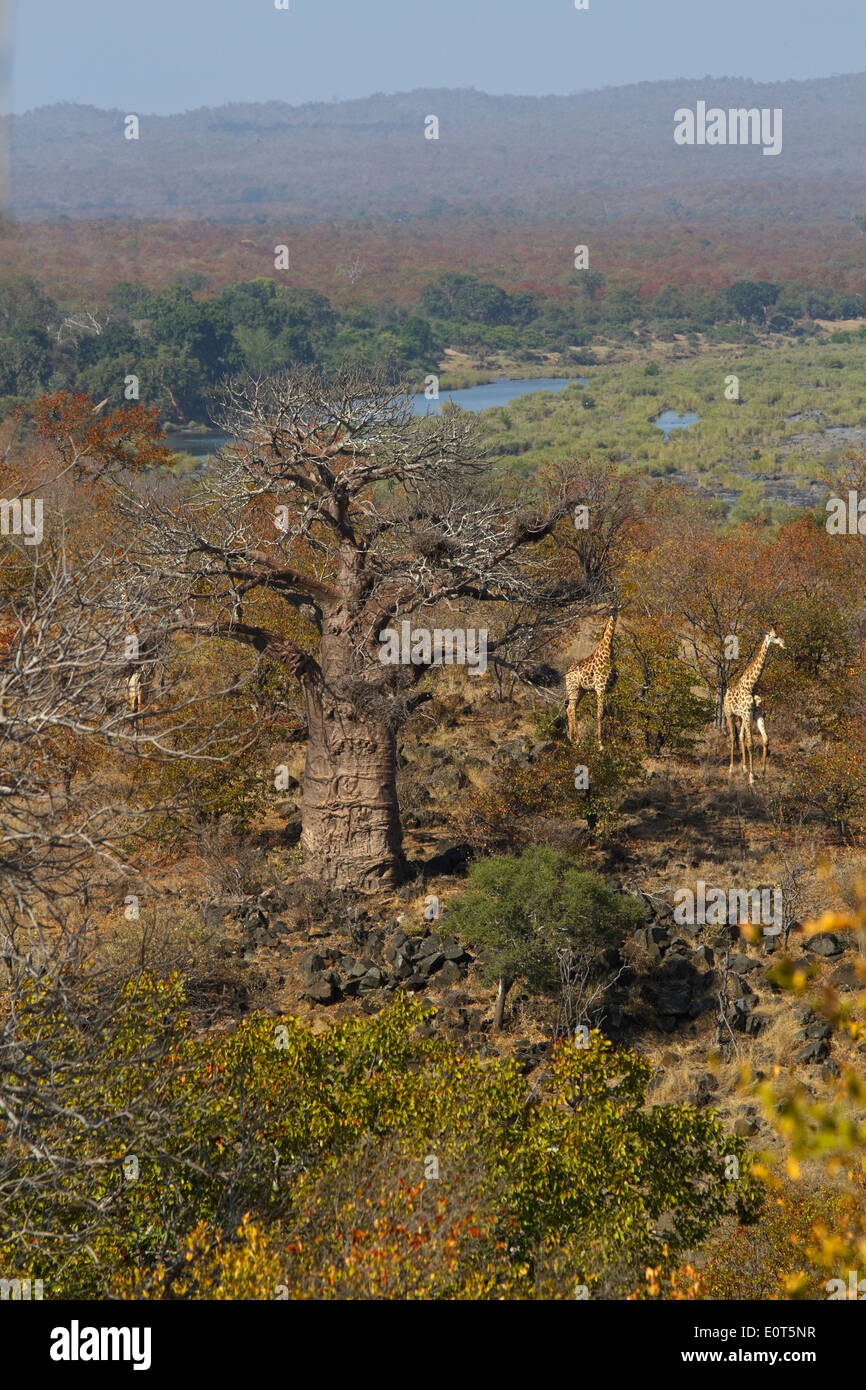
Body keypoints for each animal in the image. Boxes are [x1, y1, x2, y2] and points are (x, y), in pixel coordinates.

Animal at [565, 611, 617, 750]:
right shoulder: (600, 688)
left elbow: (610, 713)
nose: (613, 614)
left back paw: (571, 738)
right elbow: (600, 714)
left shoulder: (610, 688)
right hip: (573, 689)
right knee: (571, 709)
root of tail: (567, 673)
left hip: (581, 690)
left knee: (571, 709)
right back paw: (576, 740)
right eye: (610, 608)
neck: (608, 652)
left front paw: (614, 742)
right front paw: (600, 744)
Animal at [722, 628, 785, 785]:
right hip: (729, 714)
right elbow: (750, 744)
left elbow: (765, 740)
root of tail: (725, 694)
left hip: (741, 718)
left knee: (740, 736)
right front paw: (752, 777)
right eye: (775, 636)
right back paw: (731, 769)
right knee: (733, 737)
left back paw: (744, 768)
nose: (783, 643)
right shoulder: (747, 714)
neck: (751, 686)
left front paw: (762, 772)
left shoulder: (756, 714)